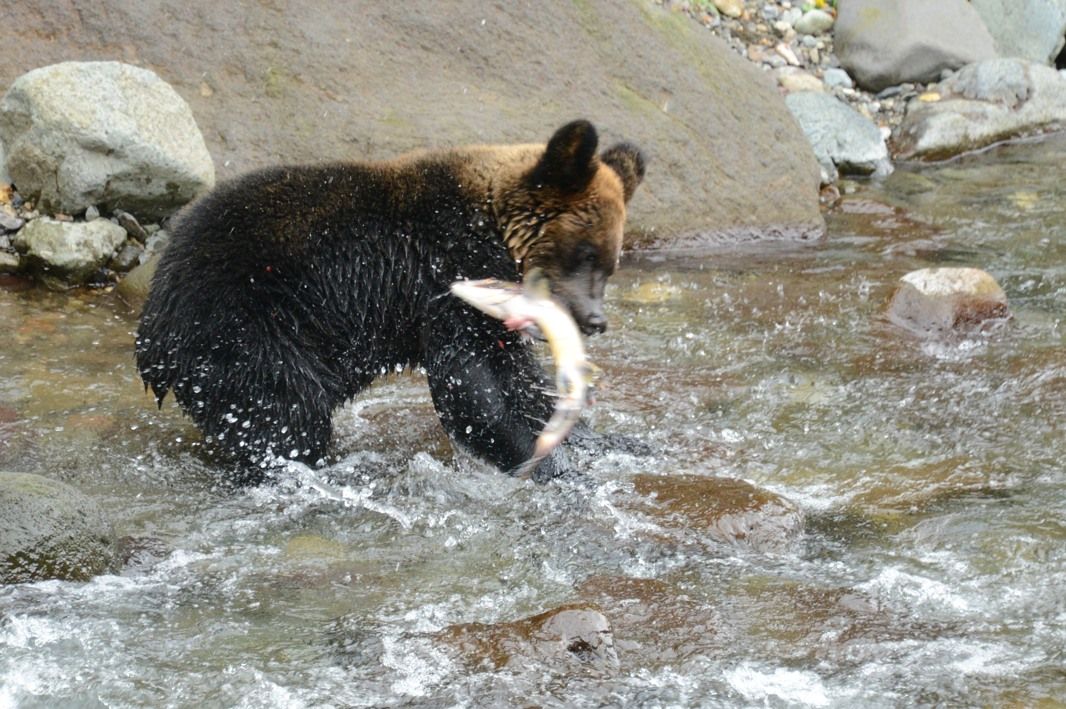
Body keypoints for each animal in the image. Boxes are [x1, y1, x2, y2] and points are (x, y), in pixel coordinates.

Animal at [135, 119, 645, 481]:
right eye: (586, 253)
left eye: (610, 263)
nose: (594, 319)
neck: (491, 236)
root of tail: (151, 327)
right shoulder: (444, 284)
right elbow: (474, 384)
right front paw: (544, 462)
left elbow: (519, 380)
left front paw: (602, 440)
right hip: (244, 323)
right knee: (284, 411)